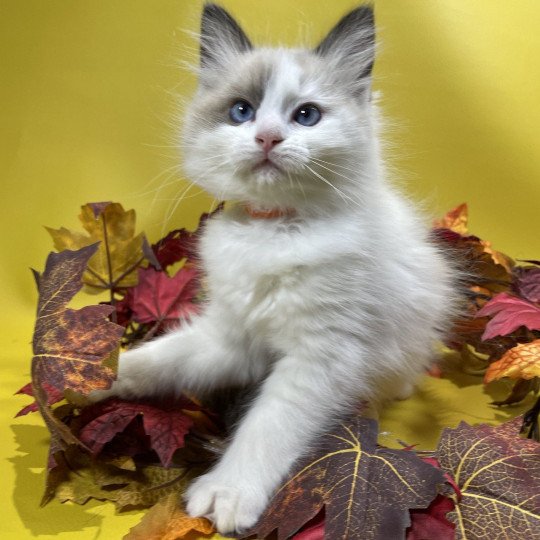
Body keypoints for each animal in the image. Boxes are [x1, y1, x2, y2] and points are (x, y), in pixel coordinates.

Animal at [90, 4, 458, 532]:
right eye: (240, 111)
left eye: (306, 115)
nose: (267, 137)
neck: (273, 232)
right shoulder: (230, 339)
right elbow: (156, 359)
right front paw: (84, 371)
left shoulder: (321, 356)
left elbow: (267, 426)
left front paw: (228, 492)